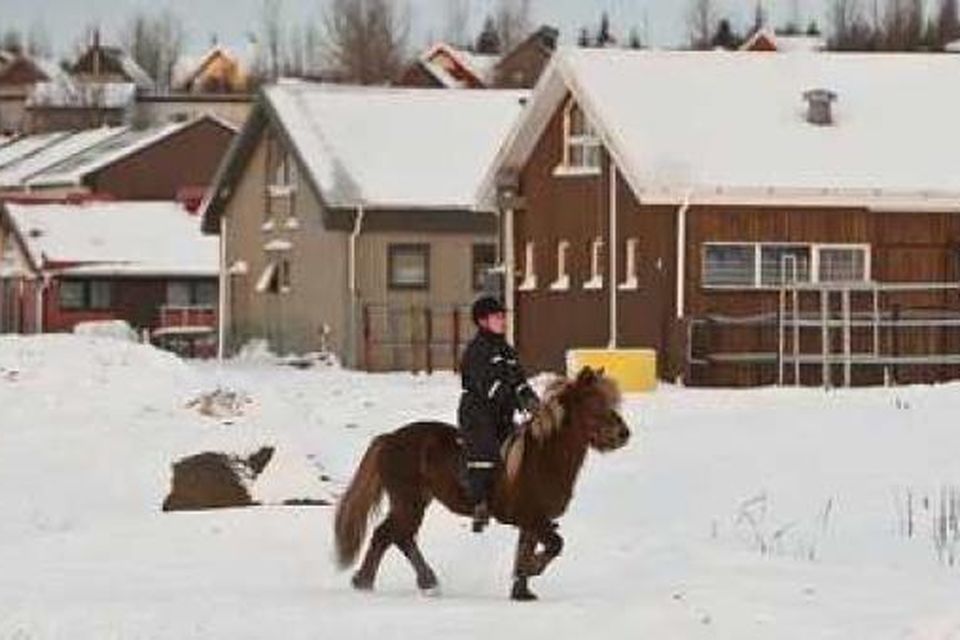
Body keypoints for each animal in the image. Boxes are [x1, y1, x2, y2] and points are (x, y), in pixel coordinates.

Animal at [334, 368, 632, 604]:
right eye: (593, 402)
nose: (623, 434)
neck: (544, 456)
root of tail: (389, 438)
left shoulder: (534, 520)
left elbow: (526, 548)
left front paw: (521, 590)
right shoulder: (531, 517)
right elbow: (555, 544)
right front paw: (532, 570)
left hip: (415, 501)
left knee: (392, 536)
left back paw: (374, 581)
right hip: (409, 501)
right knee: (393, 535)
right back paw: (407, 581)